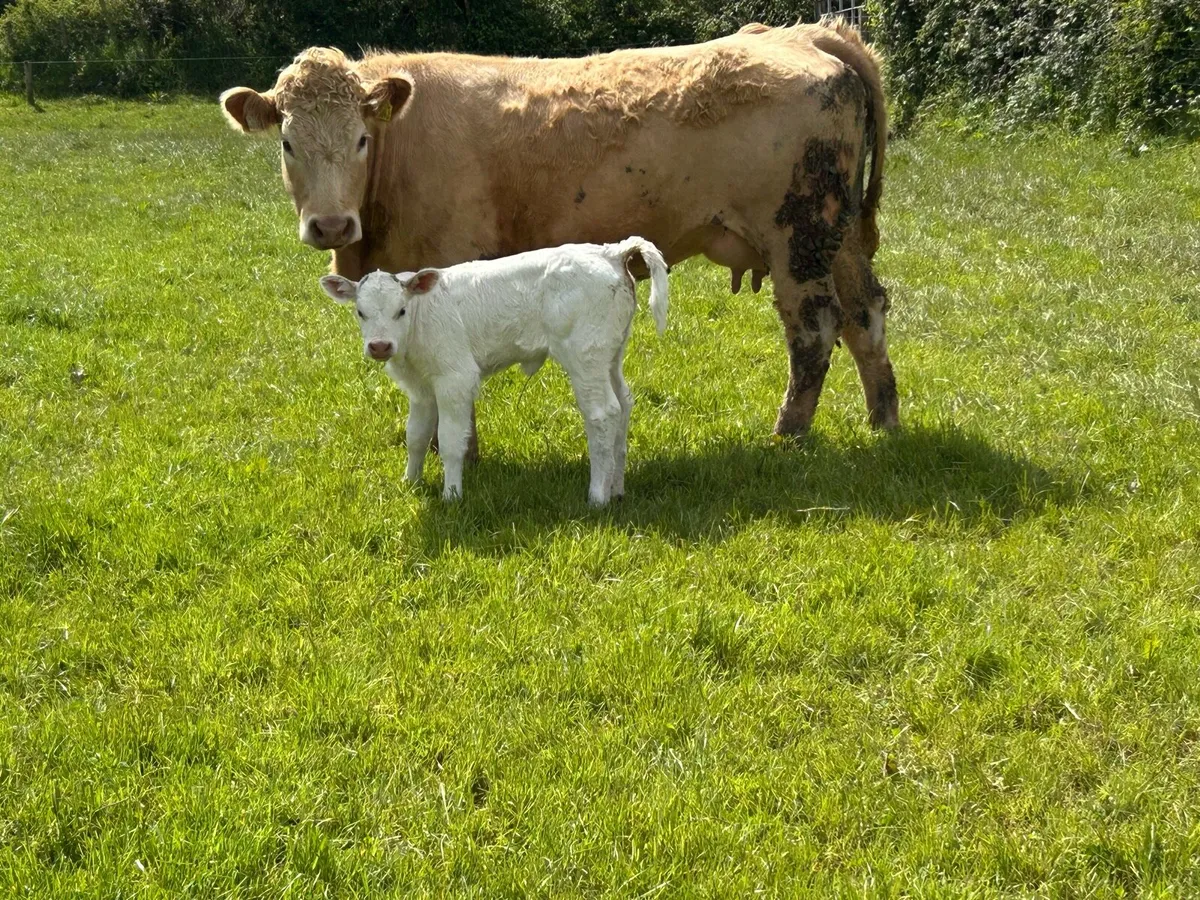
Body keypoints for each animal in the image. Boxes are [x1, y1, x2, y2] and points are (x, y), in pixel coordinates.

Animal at [220, 17, 897, 455]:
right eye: (287, 142)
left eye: (361, 139)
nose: (331, 223)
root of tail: (804, 33)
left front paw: (456, 449)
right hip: (838, 235)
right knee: (865, 314)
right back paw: (883, 421)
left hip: (798, 235)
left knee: (815, 328)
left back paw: (789, 434)